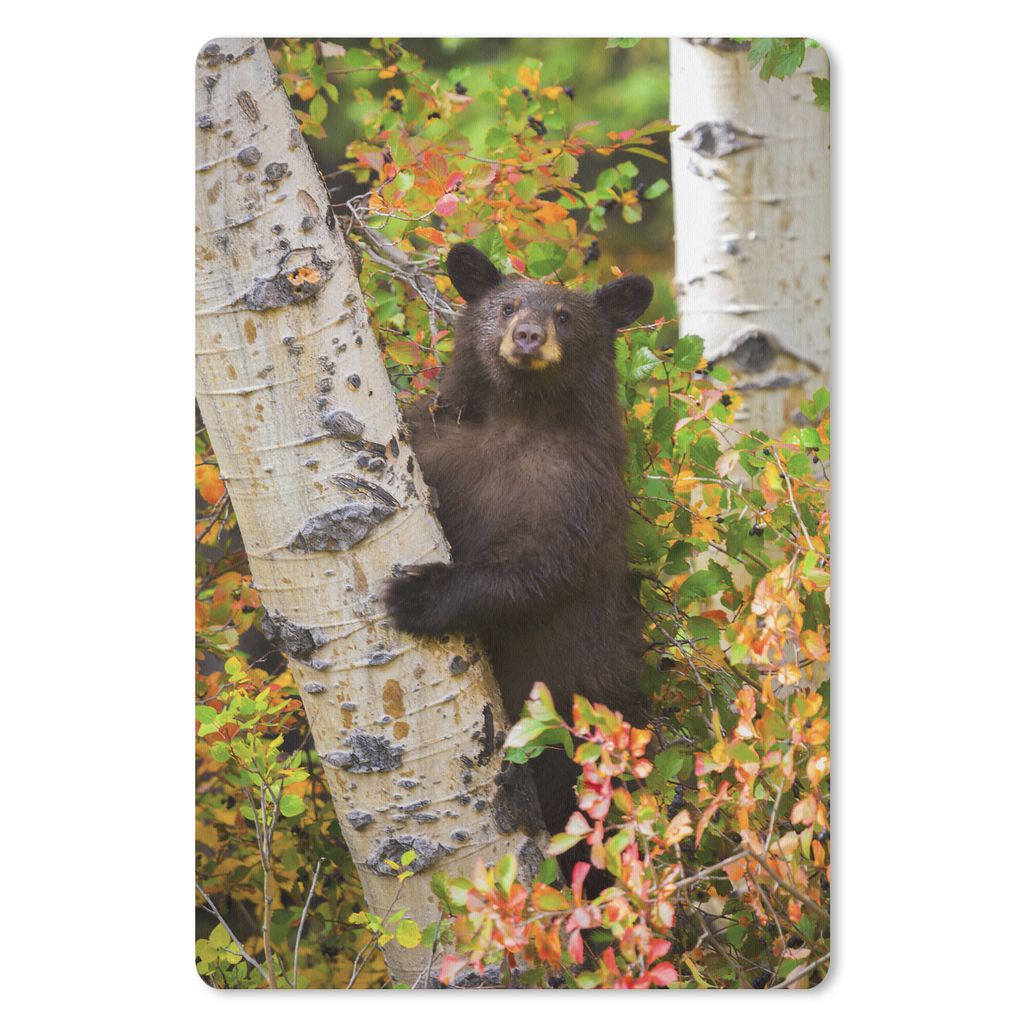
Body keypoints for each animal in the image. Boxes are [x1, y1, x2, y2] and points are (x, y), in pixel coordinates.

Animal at [384, 241, 653, 851]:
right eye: (506, 306)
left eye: (566, 315)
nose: (528, 335)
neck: (521, 417)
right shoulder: (437, 442)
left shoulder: (579, 489)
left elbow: (539, 567)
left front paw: (423, 594)